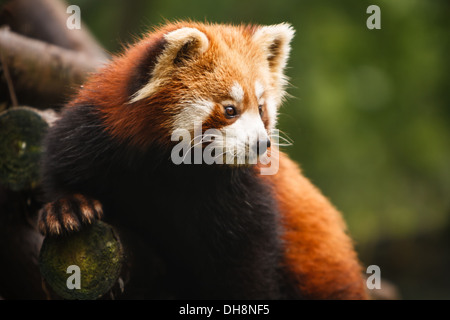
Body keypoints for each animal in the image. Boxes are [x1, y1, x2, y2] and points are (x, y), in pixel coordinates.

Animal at [39, 21, 370, 298]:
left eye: (262, 109)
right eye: (230, 110)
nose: (262, 145)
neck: (173, 170)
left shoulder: (247, 199)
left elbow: (248, 264)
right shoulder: (96, 135)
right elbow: (60, 166)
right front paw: (68, 206)